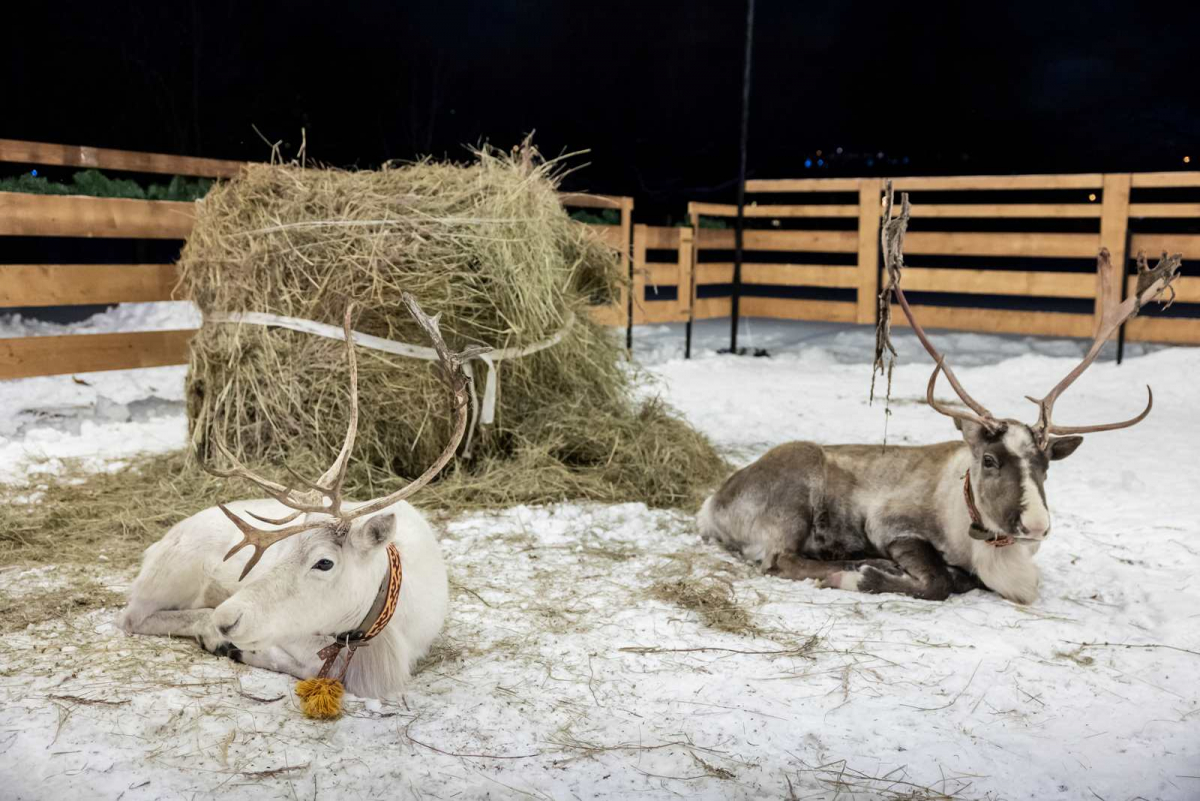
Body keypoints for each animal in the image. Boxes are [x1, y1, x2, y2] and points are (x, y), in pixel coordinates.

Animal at [118, 294, 484, 707]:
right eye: (282, 550)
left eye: (324, 562)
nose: (227, 619)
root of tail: (153, 548)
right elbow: (303, 663)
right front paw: (234, 646)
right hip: (175, 573)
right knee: (133, 617)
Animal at [698, 185, 1183, 605]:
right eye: (989, 460)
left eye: (1046, 466)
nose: (1037, 526)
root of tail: (711, 505)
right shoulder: (893, 526)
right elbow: (938, 580)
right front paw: (871, 571)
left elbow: (961, 578)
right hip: (794, 493)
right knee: (781, 559)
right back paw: (847, 567)